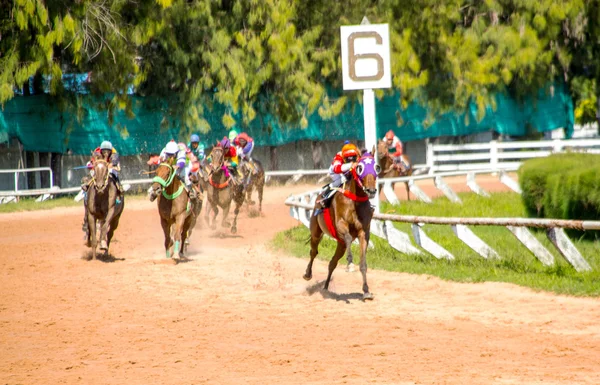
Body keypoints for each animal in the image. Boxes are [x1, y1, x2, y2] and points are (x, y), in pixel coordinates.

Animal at [304, 150, 380, 300]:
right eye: (360, 168)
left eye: (377, 167)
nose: (371, 191)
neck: (355, 201)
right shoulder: (341, 225)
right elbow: (349, 237)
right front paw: (350, 264)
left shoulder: (364, 232)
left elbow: (363, 263)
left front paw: (366, 291)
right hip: (316, 232)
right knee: (313, 252)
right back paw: (308, 274)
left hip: (341, 244)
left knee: (332, 262)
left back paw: (326, 287)